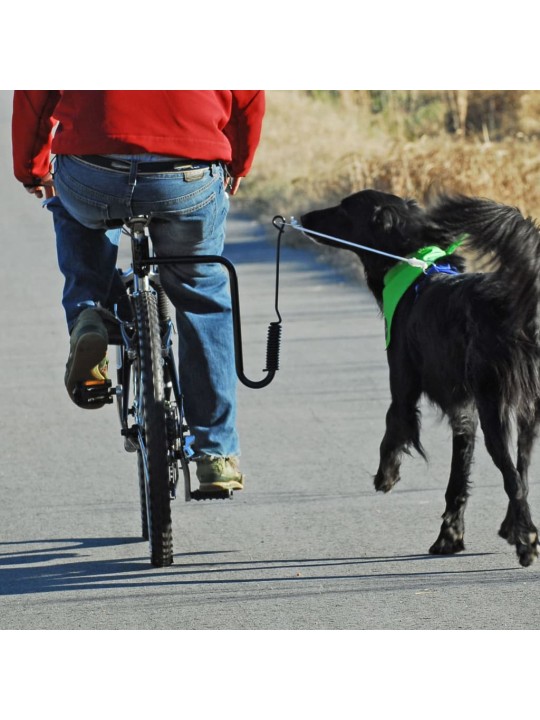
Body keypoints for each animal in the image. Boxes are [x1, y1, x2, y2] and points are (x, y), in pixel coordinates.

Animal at [302, 191, 540, 568]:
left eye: (343, 208)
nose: (303, 217)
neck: (415, 268)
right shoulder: (465, 411)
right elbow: (457, 481)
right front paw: (450, 537)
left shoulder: (404, 386)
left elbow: (393, 426)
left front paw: (386, 476)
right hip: (526, 412)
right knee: (523, 472)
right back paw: (513, 527)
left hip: (495, 409)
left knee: (514, 478)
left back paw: (527, 541)